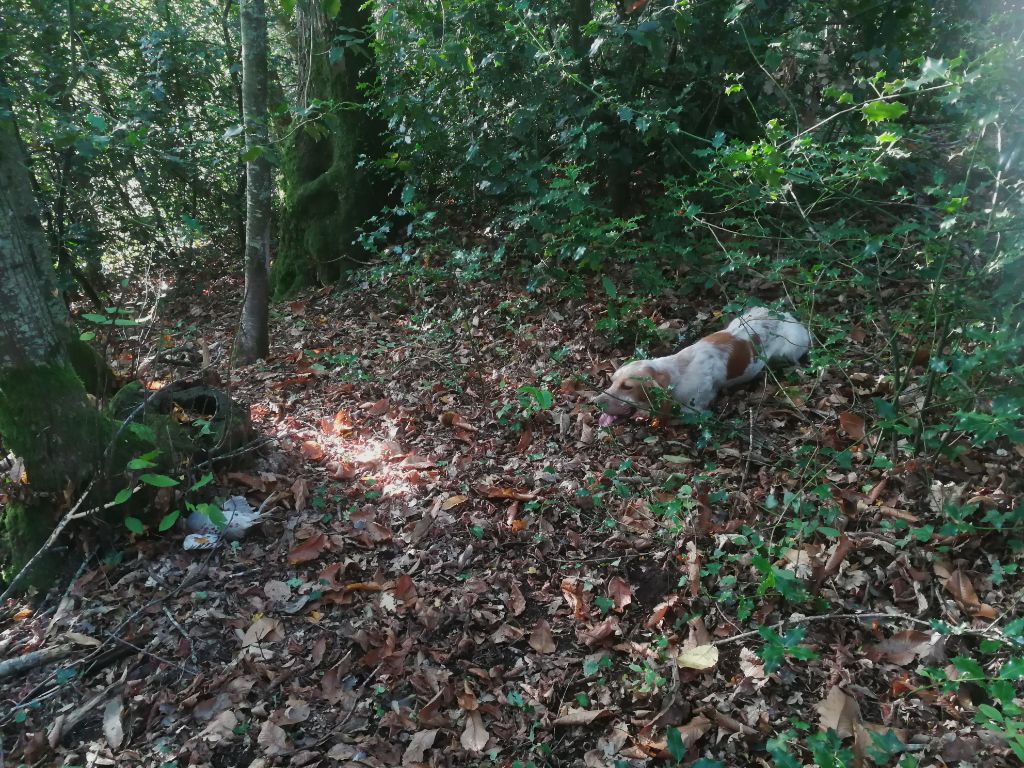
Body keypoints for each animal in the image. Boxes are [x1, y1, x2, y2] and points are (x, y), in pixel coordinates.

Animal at [593, 307, 806, 428]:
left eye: (627, 387)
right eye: (612, 381)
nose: (595, 402)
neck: (678, 372)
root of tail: (788, 315)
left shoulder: (695, 412)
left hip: (788, 351)